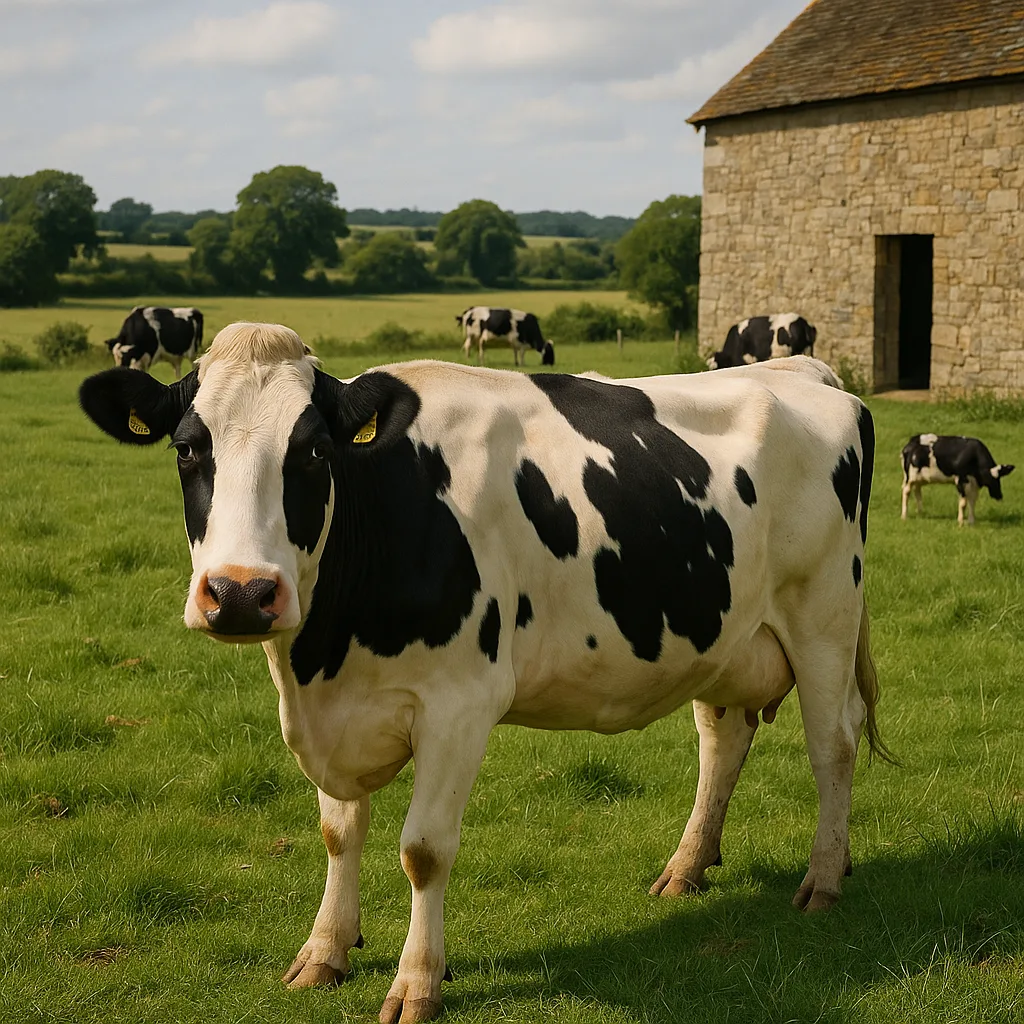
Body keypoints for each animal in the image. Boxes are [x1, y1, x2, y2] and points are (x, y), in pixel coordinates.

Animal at [80, 329, 890, 1024]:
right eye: (188, 448)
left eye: (311, 451)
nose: (243, 594)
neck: (323, 656)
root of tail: (804, 372)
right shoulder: (334, 711)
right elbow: (339, 831)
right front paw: (324, 952)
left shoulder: (458, 705)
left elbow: (423, 849)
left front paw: (417, 984)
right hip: (722, 634)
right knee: (722, 740)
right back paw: (687, 867)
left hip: (823, 615)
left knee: (834, 746)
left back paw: (823, 877)